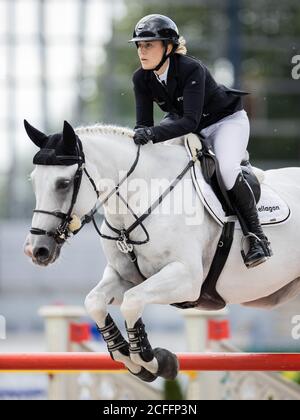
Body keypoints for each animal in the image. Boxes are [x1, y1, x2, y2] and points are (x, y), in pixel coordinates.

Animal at [24, 120, 300, 382]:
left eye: (63, 183)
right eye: (33, 182)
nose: (37, 250)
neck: (143, 198)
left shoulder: (187, 280)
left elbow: (132, 301)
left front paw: (155, 361)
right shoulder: (125, 276)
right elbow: (95, 302)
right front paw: (127, 354)